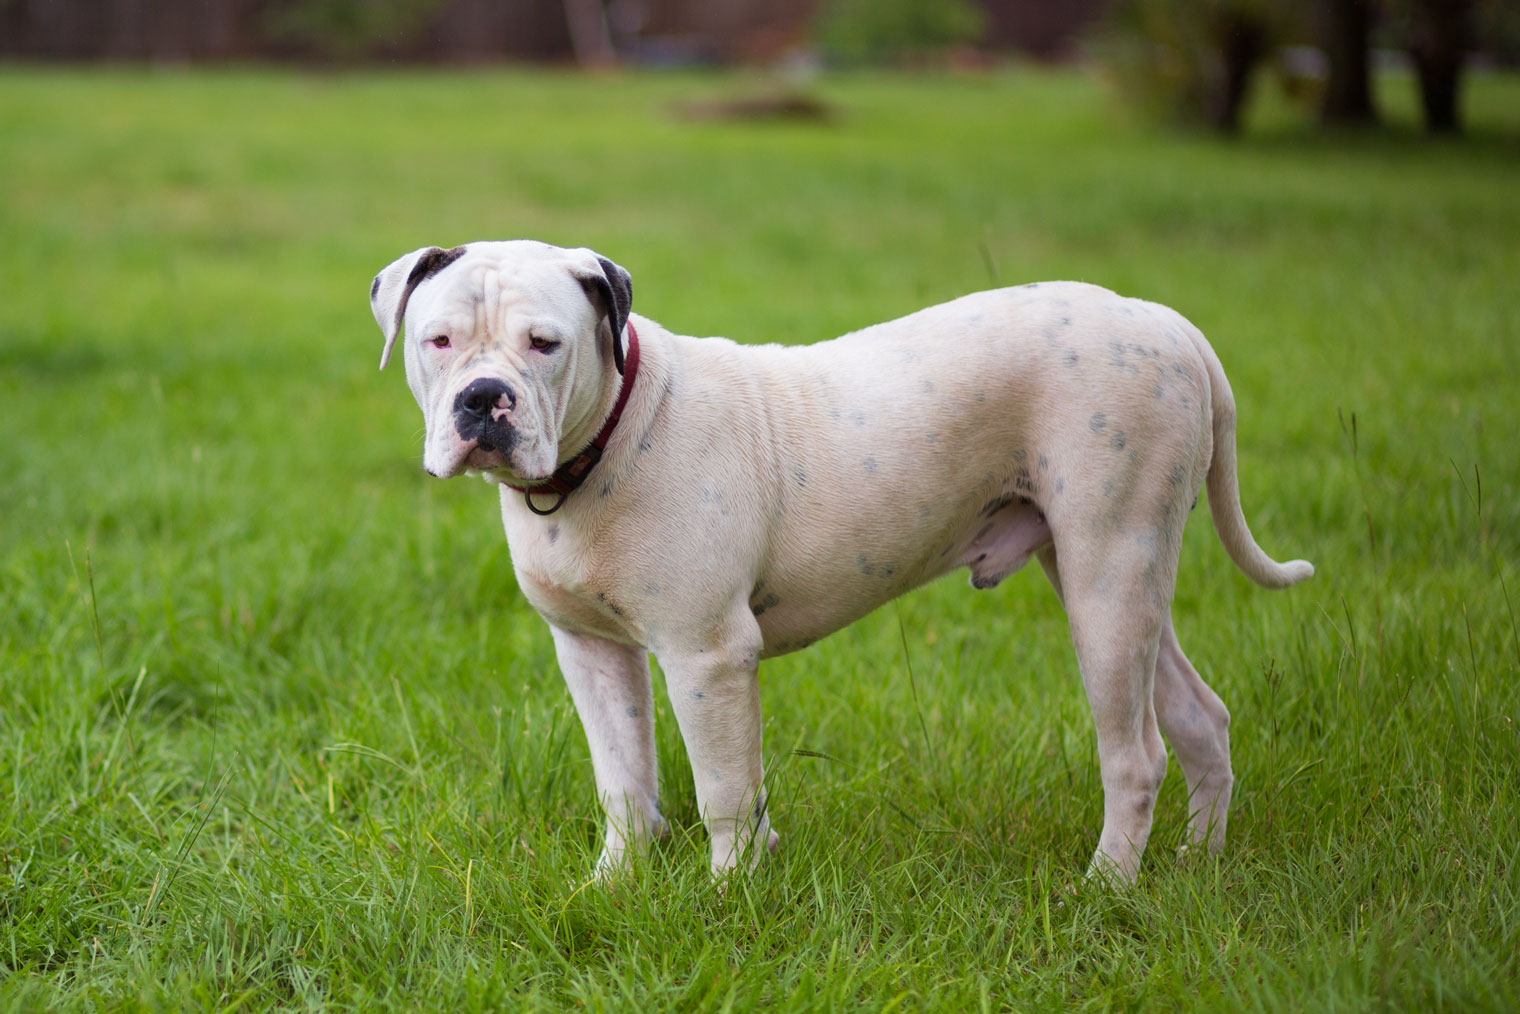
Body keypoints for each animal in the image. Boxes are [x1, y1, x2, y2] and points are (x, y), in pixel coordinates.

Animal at [367, 241, 1307, 881]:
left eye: (545, 343)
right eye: (438, 341)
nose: (484, 399)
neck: (599, 447)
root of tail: (1166, 321)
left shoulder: (708, 657)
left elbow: (722, 788)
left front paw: (728, 894)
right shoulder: (593, 654)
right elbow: (624, 781)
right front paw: (614, 886)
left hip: (1108, 571)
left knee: (1136, 752)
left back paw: (1106, 886)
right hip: (1112, 577)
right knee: (1199, 715)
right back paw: (1196, 862)